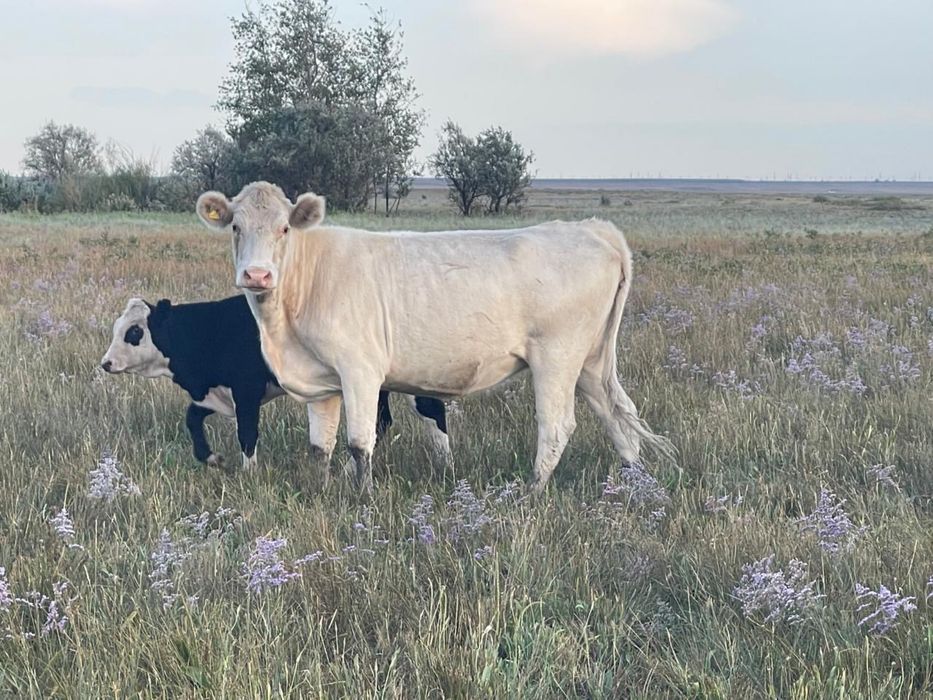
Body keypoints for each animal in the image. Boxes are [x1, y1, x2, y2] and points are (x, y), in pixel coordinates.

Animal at [100, 294, 450, 472]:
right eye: (117, 327)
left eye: (135, 332)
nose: (106, 363)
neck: (211, 330)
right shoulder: (216, 394)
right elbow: (192, 418)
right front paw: (211, 457)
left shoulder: (247, 392)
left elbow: (247, 433)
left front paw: (249, 473)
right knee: (382, 423)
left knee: (432, 412)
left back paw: (445, 464)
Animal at [196, 181, 672, 494]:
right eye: (236, 227)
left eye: (284, 229)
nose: (257, 275)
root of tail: (593, 228)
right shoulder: (321, 381)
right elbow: (320, 447)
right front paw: (321, 492)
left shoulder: (360, 371)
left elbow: (359, 444)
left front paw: (362, 501)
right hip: (591, 362)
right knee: (617, 417)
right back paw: (635, 487)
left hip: (557, 356)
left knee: (556, 427)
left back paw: (530, 494)